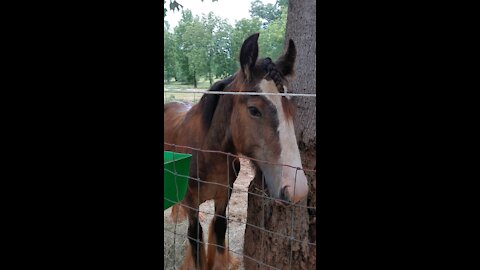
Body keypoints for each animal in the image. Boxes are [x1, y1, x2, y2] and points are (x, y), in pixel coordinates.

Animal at [164, 33, 308, 270]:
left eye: (291, 109)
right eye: (254, 110)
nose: (297, 189)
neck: (207, 153)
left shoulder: (224, 195)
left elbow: (219, 228)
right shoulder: (192, 201)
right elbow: (195, 236)